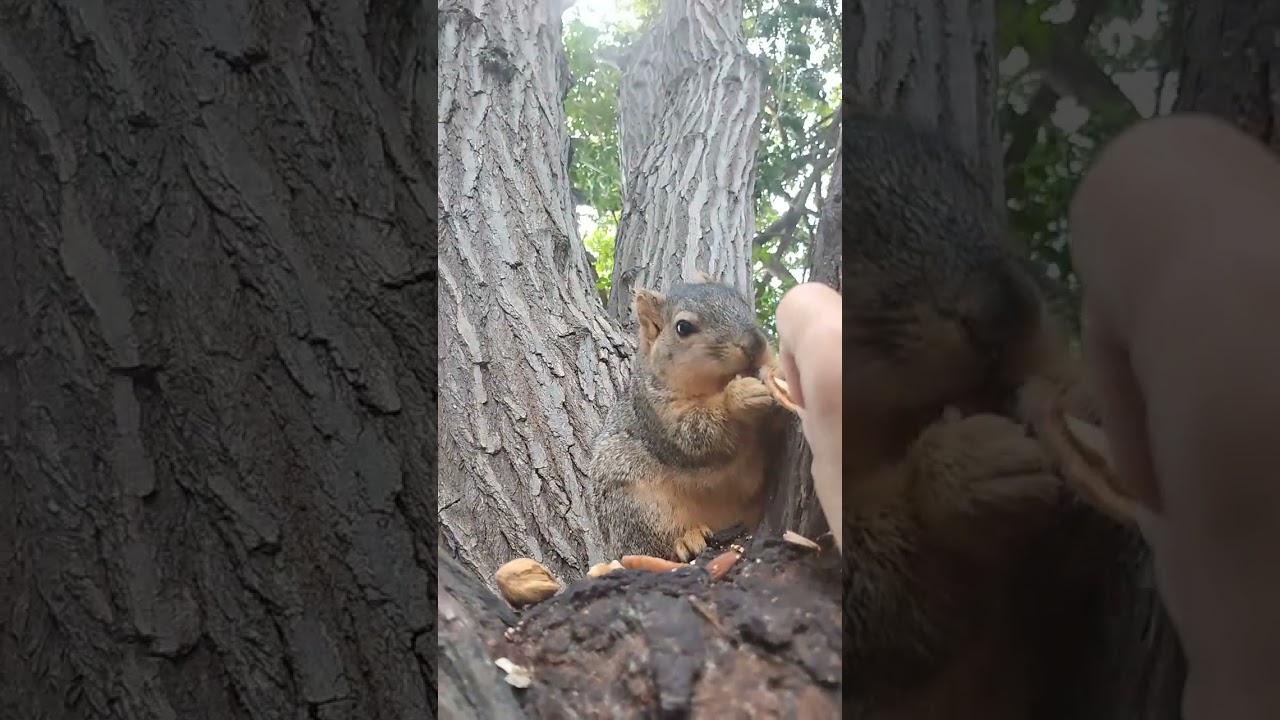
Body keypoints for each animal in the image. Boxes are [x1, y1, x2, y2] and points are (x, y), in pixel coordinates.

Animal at [588, 276, 781, 562]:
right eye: (683, 327)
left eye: (740, 301)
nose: (755, 343)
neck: (716, 382)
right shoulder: (659, 417)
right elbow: (697, 435)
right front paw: (738, 397)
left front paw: (779, 371)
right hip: (636, 506)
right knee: (654, 545)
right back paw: (688, 539)